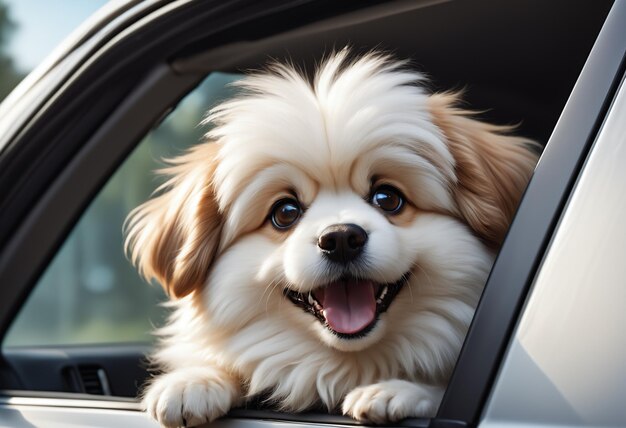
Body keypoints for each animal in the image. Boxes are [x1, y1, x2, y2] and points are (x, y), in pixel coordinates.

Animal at [123, 51, 536, 428]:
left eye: (388, 199)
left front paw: (396, 390)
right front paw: (193, 381)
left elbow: (436, 391)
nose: (340, 238)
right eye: (285, 213)